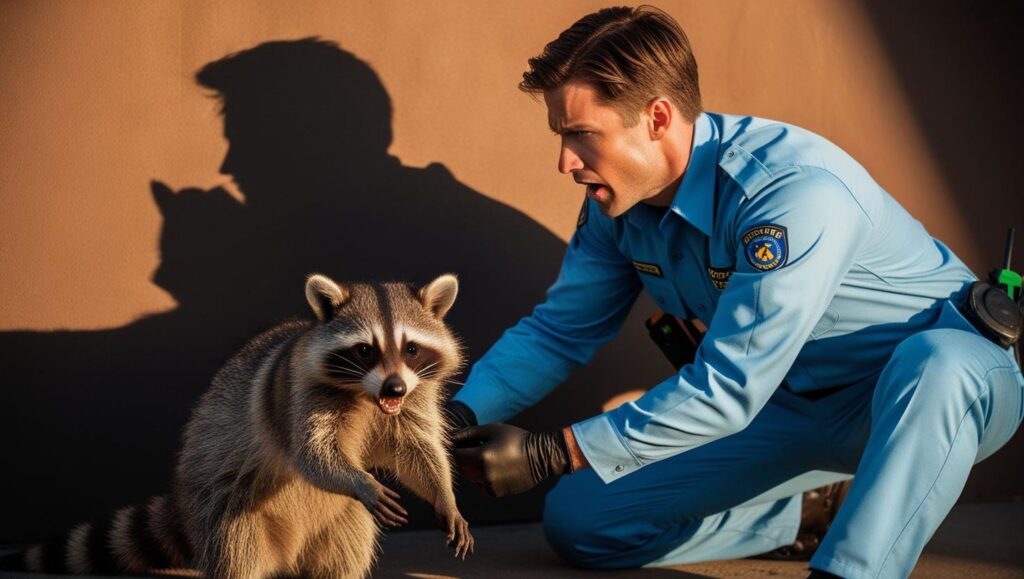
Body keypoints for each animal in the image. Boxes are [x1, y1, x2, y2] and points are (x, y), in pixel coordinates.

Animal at [3, 273, 473, 578]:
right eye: (364, 350)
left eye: (410, 348)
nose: (394, 385)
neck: (367, 395)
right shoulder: (295, 394)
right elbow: (312, 455)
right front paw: (361, 480)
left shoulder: (412, 397)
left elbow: (417, 450)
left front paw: (444, 496)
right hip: (225, 504)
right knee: (237, 549)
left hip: (333, 520)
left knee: (349, 542)